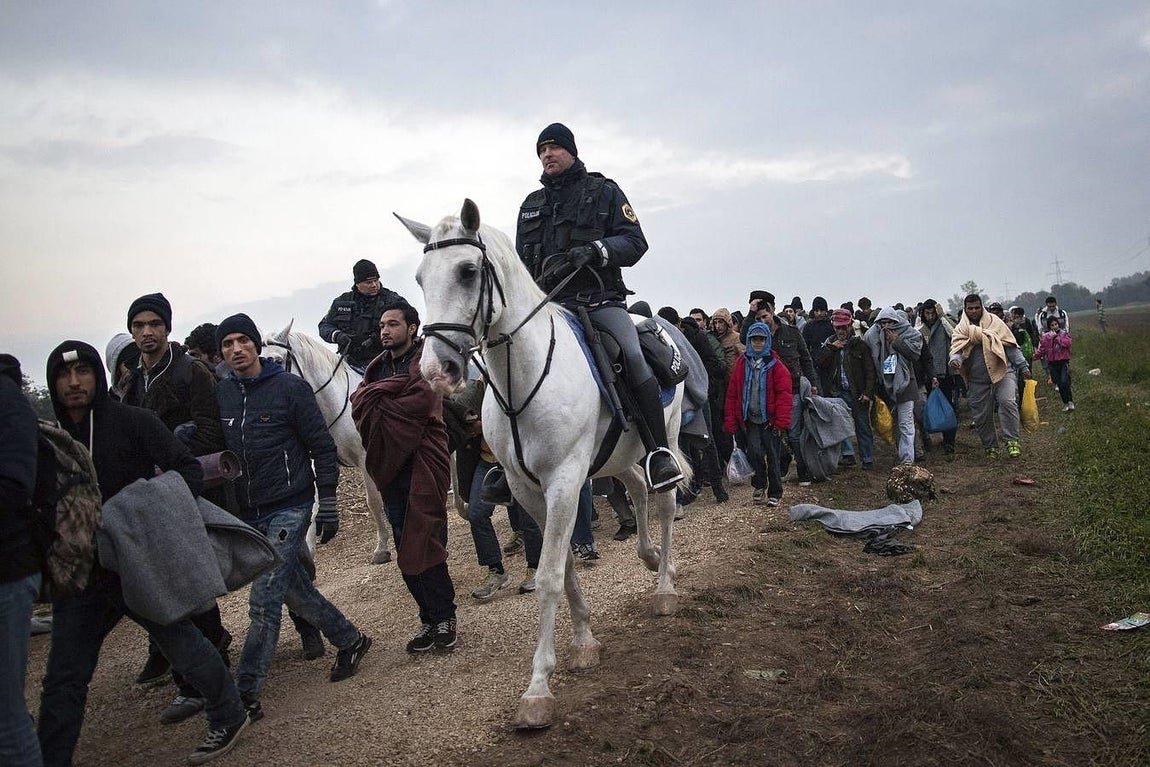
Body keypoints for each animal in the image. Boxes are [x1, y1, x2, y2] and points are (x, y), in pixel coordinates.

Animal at [263, 323, 392, 565]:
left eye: (277, 360)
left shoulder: (365, 459)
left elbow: (373, 501)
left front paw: (381, 548)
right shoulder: (317, 461)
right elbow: (313, 508)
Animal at [398, 198, 689, 729]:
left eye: (468, 271)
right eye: (420, 278)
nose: (436, 370)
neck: (524, 378)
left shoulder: (564, 482)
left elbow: (550, 574)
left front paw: (538, 688)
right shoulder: (527, 489)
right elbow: (564, 566)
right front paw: (584, 640)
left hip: (667, 436)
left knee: (662, 500)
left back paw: (663, 587)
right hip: (617, 457)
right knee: (637, 490)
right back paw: (654, 558)